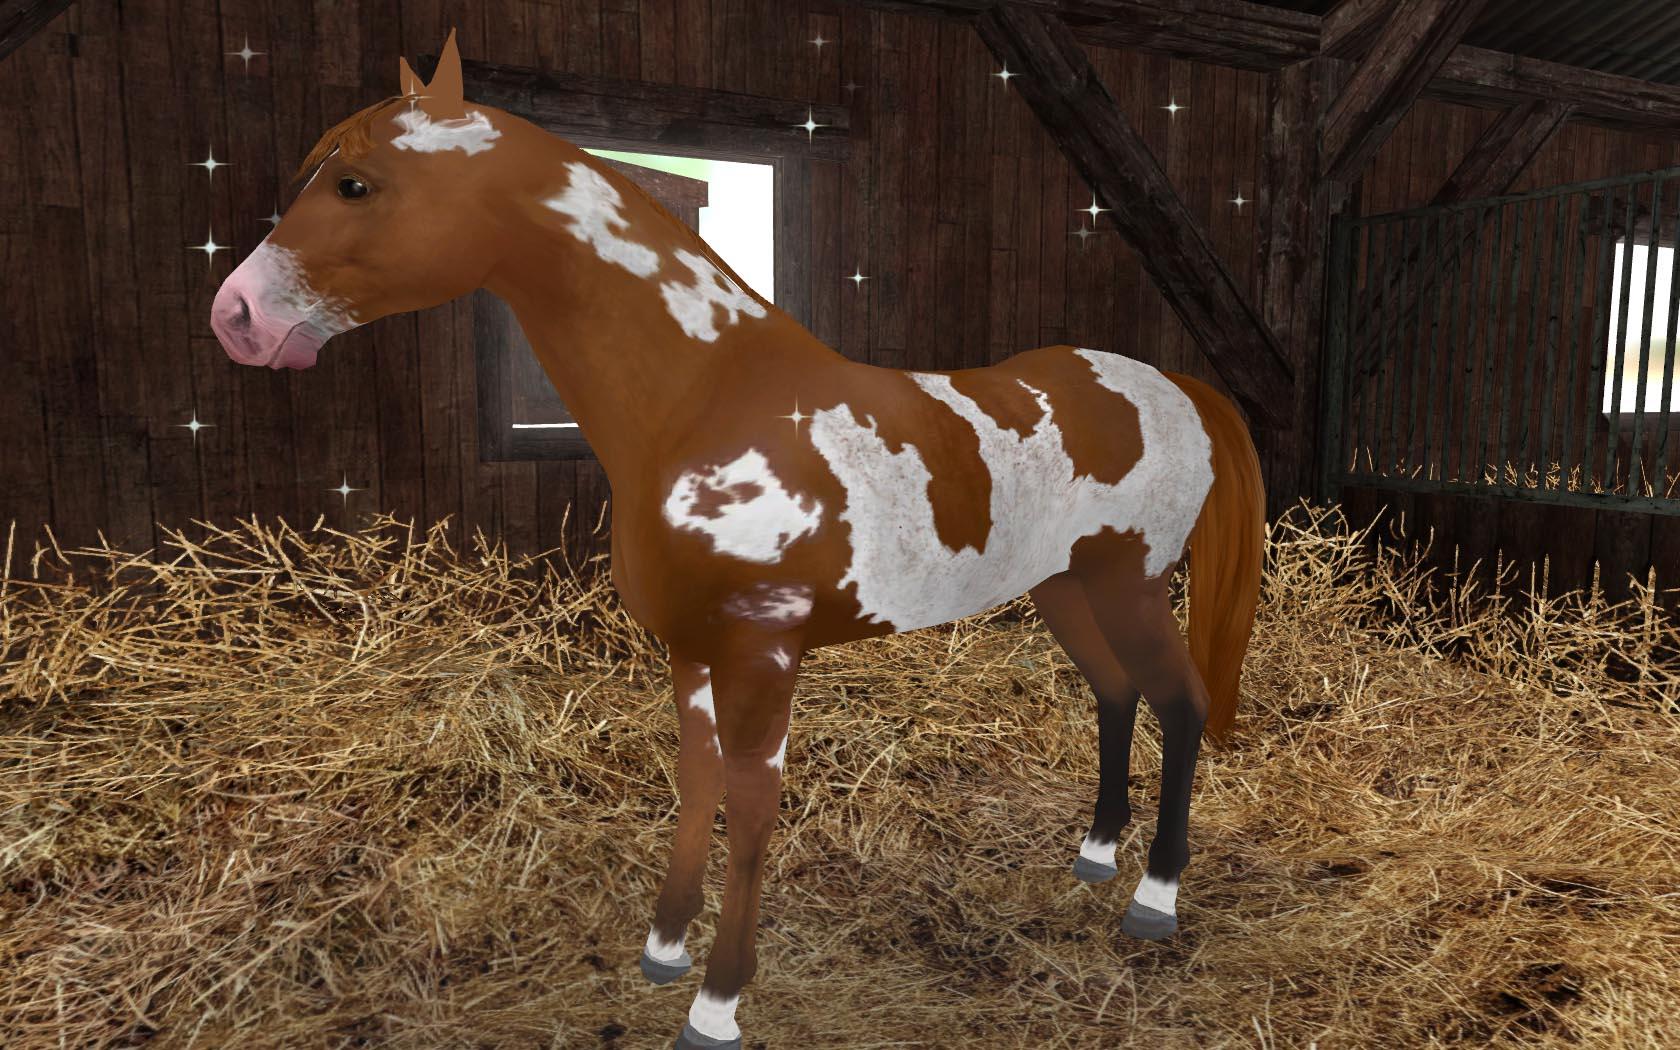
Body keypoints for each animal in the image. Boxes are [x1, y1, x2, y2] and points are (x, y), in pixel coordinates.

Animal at [209, 30, 1265, 1050]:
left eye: (355, 183)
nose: (236, 317)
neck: (701, 401)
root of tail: (1172, 386)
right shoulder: (691, 650)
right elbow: (696, 784)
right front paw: (663, 951)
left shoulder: (763, 651)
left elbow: (752, 807)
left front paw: (715, 1005)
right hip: (1062, 587)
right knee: (1117, 695)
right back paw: (1094, 855)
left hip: (1129, 584)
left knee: (1179, 703)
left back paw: (1155, 898)